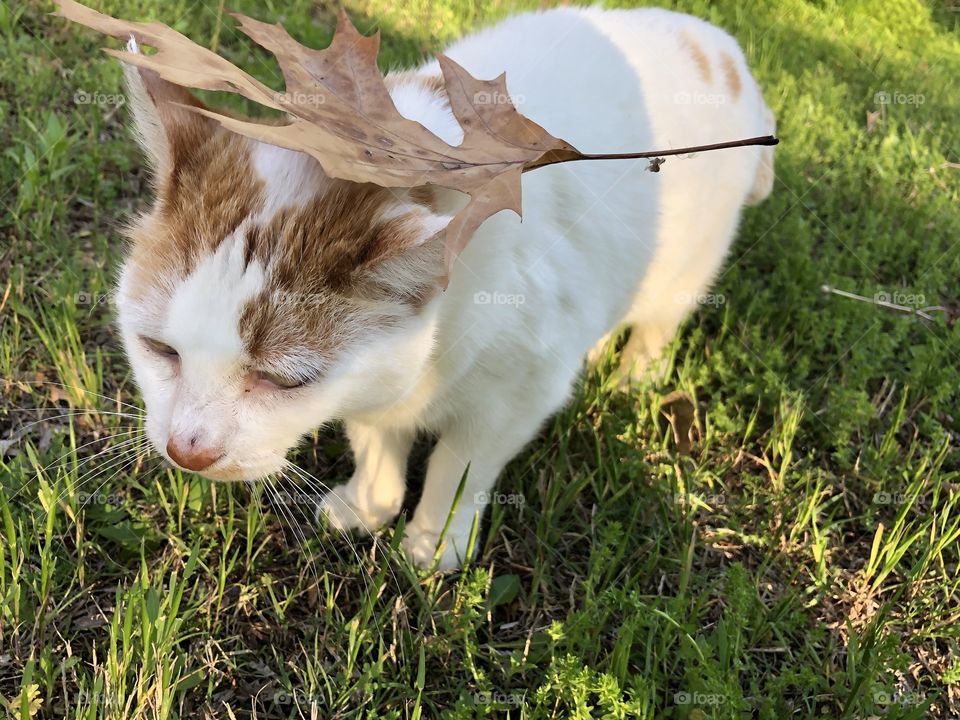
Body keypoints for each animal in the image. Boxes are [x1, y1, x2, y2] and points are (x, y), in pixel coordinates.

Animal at [114, 5, 772, 568]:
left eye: (283, 379)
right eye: (159, 349)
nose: (187, 449)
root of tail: (720, 44)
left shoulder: (517, 397)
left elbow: (461, 468)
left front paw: (434, 543)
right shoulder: (378, 388)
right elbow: (377, 438)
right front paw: (368, 505)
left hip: (684, 269)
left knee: (658, 323)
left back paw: (633, 374)